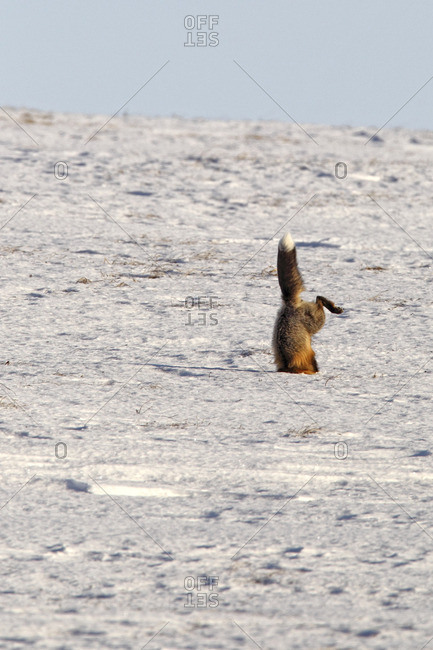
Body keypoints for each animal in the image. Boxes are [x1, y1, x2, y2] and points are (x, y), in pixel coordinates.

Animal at [273, 232, 343, 374]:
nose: (317, 371)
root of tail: (289, 303)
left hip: (317, 322)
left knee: (318, 299)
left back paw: (333, 308)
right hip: (316, 322)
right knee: (318, 298)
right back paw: (334, 307)